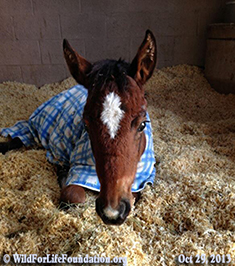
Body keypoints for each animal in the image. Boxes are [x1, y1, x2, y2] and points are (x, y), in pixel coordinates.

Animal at [1, 29, 158, 224]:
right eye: (86, 125)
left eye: (142, 124)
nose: (112, 211)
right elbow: (72, 196)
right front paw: (63, 178)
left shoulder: (143, 178)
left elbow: (135, 195)